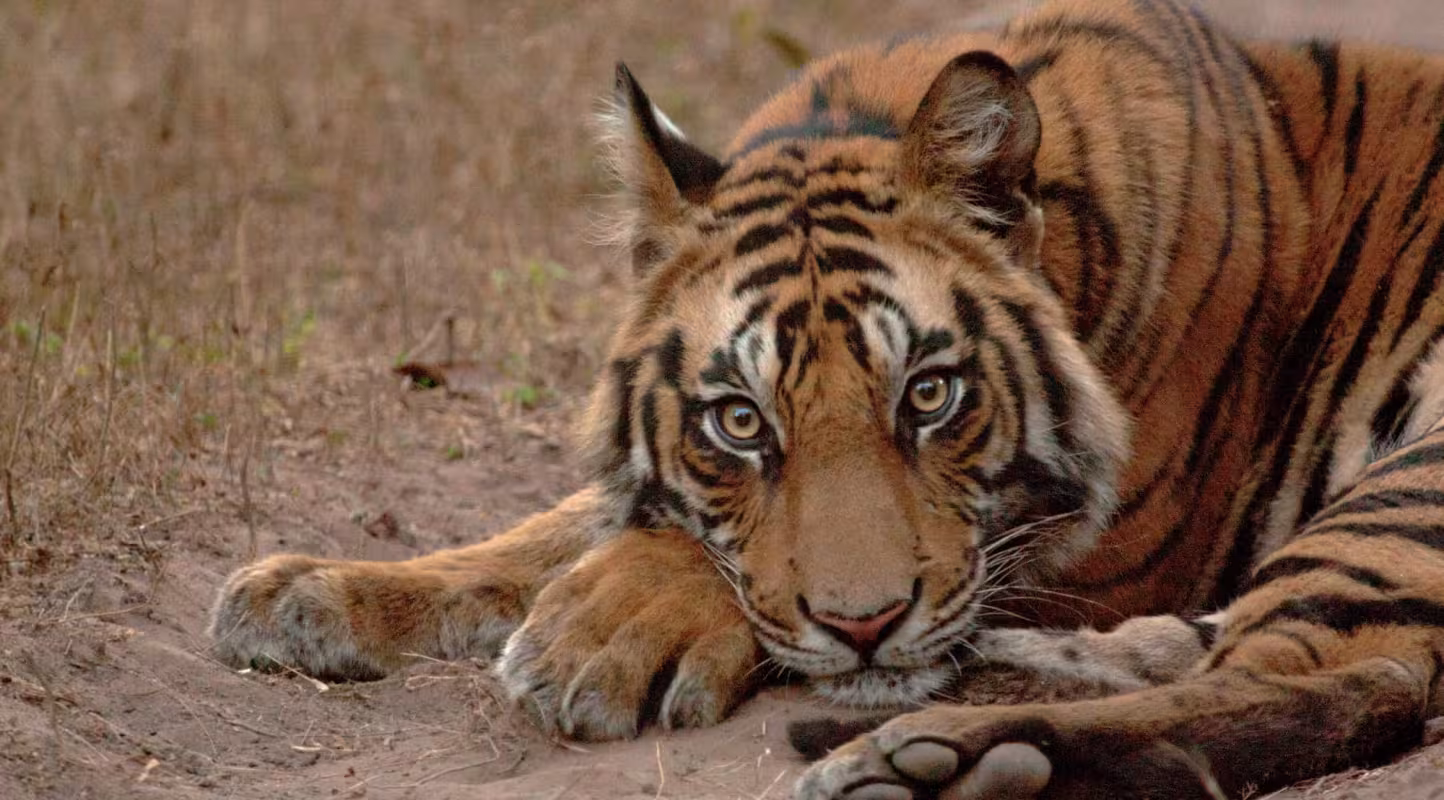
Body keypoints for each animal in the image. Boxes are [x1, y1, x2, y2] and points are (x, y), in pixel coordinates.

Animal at [206, 0, 1444, 796]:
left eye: (931, 395)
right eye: (739, 419)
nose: (865, 629)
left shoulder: (1111, 539)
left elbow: (684, 559)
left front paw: (596, 634)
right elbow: (553, 526)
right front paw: (308, 590)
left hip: (1411, 475)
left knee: (1349, 676)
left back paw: (941, 759)